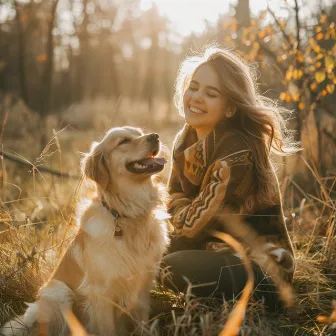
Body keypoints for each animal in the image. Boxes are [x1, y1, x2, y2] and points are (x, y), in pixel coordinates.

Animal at [1, 126, 171, 336]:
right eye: (124, 141)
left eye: (139, 133)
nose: (155, 136)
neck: (129, 214)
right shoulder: (101, 292)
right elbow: (107, 329)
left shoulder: (142, 289)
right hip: (59, 292)